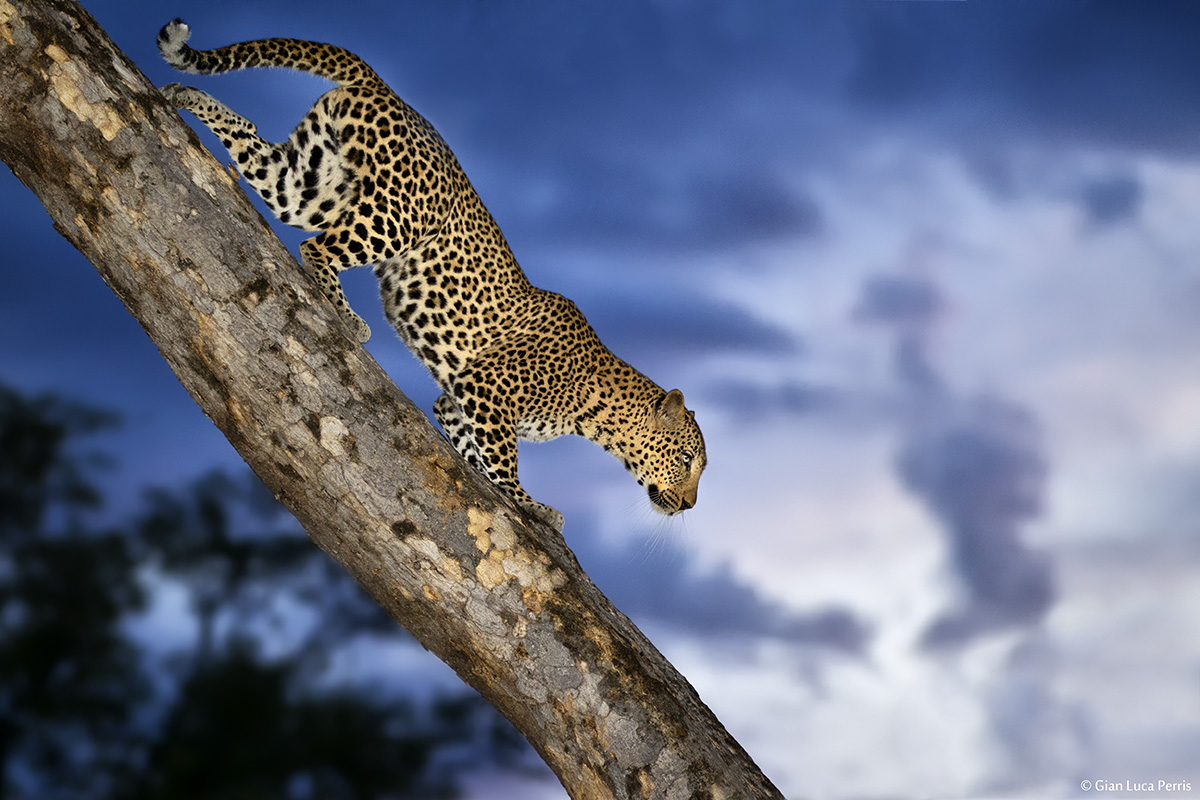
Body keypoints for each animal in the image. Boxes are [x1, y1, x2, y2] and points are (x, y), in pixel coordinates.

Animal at [157, 20, 706, 532]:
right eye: (686, 460)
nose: (690, 505)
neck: (598, 412)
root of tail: (386, 88)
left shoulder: (458, 400)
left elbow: (474, 456)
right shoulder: (488, 389)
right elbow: (504, 465)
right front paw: (535, 507)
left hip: (310, 181)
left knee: (256, 146)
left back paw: (181, 94)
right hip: (397, 216)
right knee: (317, 247)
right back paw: (347, 317)